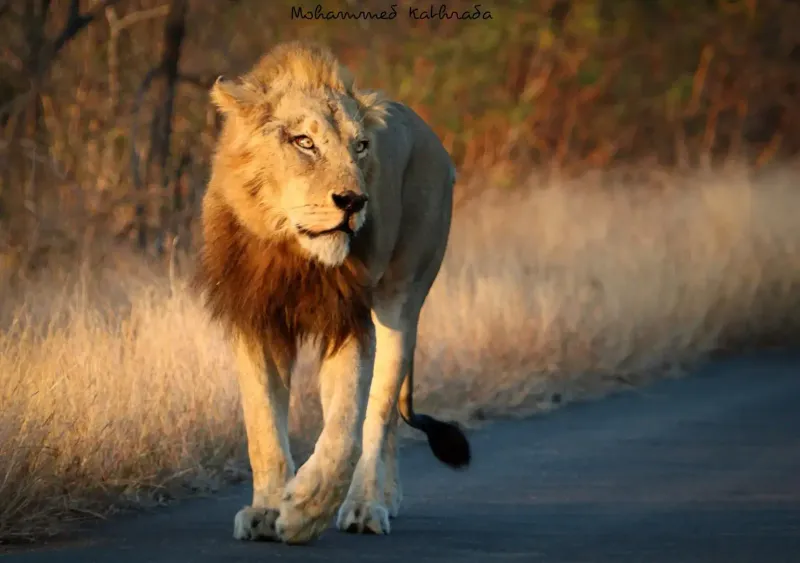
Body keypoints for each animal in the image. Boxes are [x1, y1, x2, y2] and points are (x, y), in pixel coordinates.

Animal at [193, 41, 470, 545]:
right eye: (304, 142)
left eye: (360, 146)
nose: (354, 202)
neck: (292, 250)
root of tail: (433, 138)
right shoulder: (257, 320)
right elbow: (262, 426)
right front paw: (266, 511)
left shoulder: (348, 321)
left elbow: (345, 429)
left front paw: (304, 509)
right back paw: (386, 497)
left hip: (401, 301)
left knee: (380, 411)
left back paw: (366, 505)